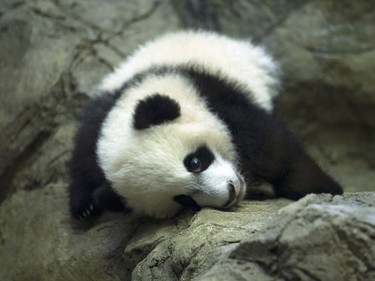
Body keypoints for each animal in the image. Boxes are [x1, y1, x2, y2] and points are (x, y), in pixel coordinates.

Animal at [68, 30, 344, 219]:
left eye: (194, 162)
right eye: (183, 199)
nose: (230, 194)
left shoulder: (212, 92)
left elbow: (273, 149)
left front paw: (323, 188)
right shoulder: (96, 122)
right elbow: (82, 162)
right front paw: (86, 206)